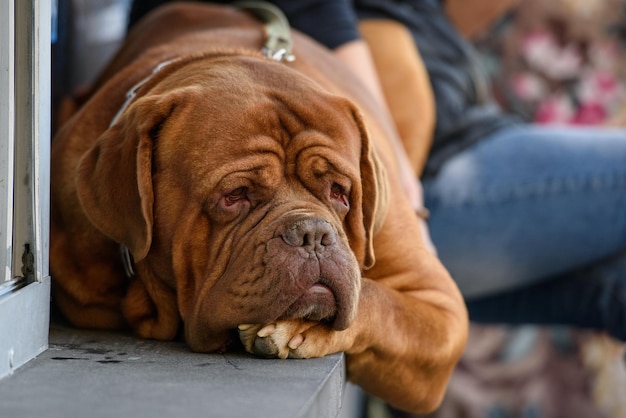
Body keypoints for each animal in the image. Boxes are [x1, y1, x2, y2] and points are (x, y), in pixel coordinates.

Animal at [51, 2, 466, 414]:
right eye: (235, 195)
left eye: (340, 191)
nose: (313, 234)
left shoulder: (442, 310)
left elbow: (380, 303)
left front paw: (299, 326)